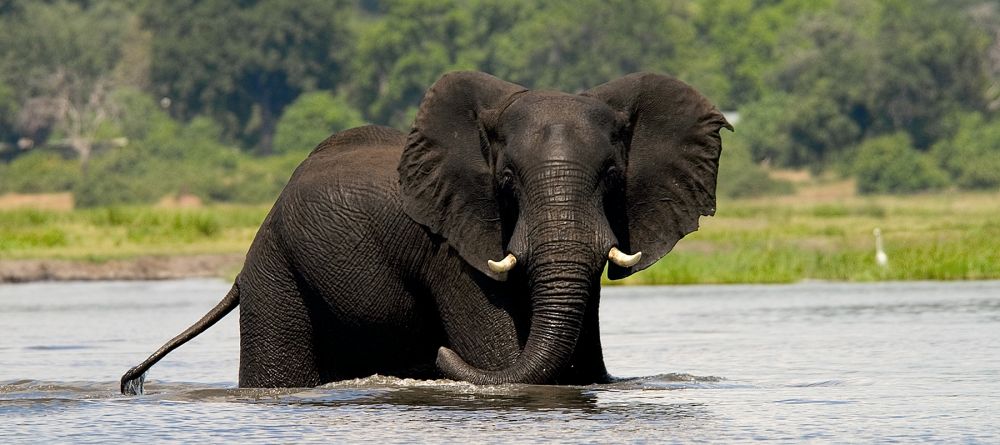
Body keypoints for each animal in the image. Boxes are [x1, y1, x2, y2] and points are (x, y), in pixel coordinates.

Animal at [121, 71, 732, 394]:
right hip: (277, 268)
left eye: (610, 176)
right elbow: (497, 350)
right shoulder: (451, 251)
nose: (435, 354)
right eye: (506, 180)